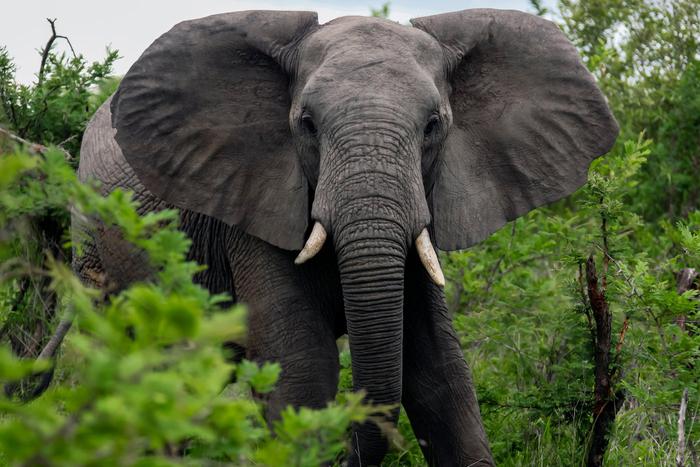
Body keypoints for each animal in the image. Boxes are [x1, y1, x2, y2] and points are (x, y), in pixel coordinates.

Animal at [72, 9, 618, 466]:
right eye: (307, 125)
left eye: (433, 126)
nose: (345, 451)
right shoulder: (253, 209)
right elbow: (303, 370)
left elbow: (439, 369)